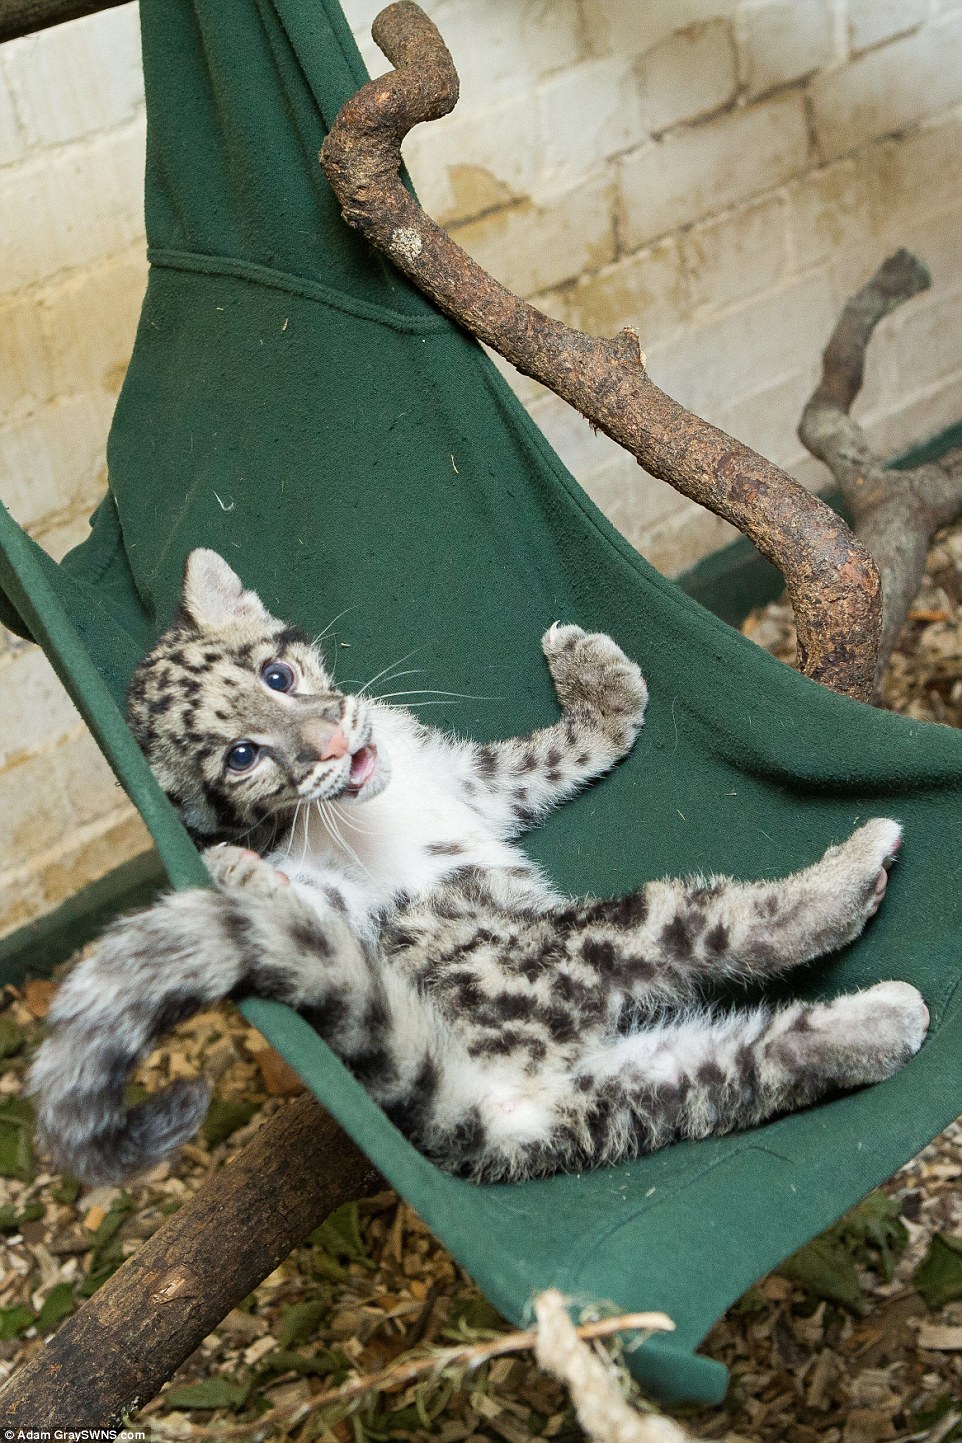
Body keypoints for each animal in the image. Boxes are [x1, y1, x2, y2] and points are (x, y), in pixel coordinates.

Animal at [29, 549, 929, 1186]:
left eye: (276, 674)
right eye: (242, 756)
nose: (330, 743)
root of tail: (499, 1110)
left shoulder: (474, 784)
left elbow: (563, 750)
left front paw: (597, 675)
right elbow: (324, 904)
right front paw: (244, 870)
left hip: (640, 1081)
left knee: (744, 1063)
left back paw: (881, 1022)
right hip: (573, 948)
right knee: (714, 927)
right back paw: (852, 877)